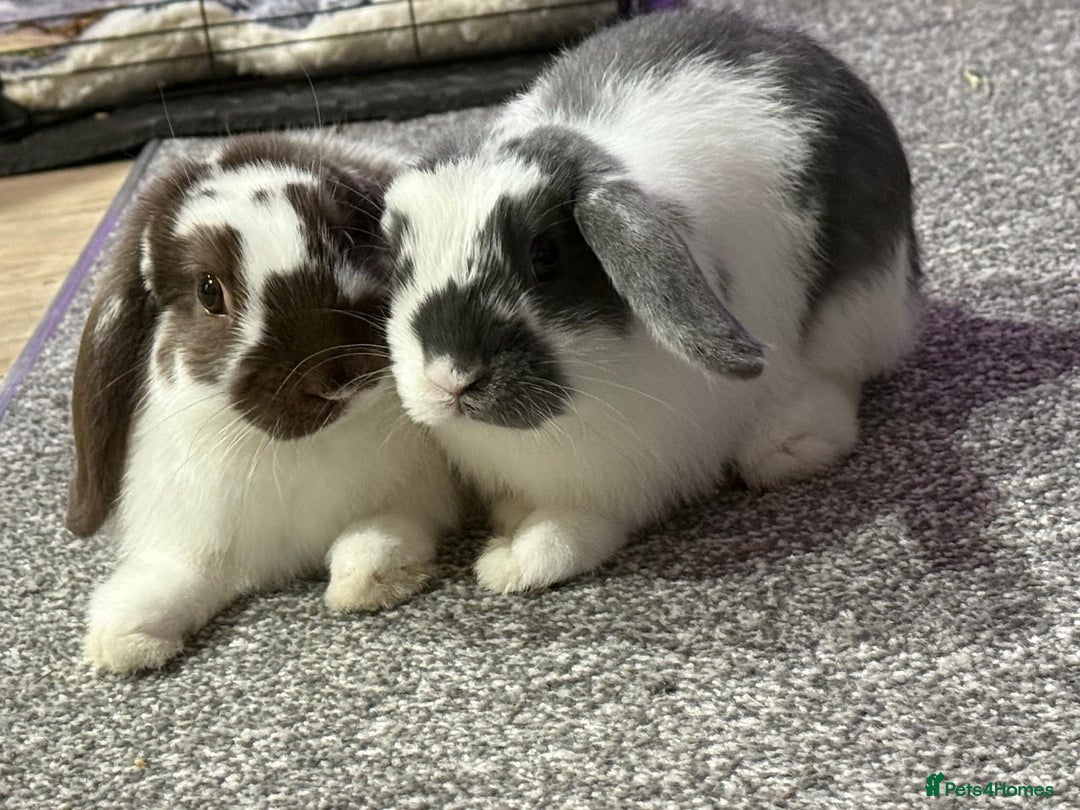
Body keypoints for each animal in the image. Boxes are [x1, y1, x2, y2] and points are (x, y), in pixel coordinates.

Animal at [68, 132, 460, 674]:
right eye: (208, 290)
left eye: (345, 239)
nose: (337, 376)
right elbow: (184, 575)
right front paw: (125, 635)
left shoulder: (417, 496)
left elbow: (381, 534)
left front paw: (369, 579)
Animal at [379, 8, 921, 593]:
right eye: (401, 266)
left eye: (545, 255)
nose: (451, 378)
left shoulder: (618, 485)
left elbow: (571, 529)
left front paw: (514, 563)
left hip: (856, 309)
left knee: (840, 377)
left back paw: (789, 446)